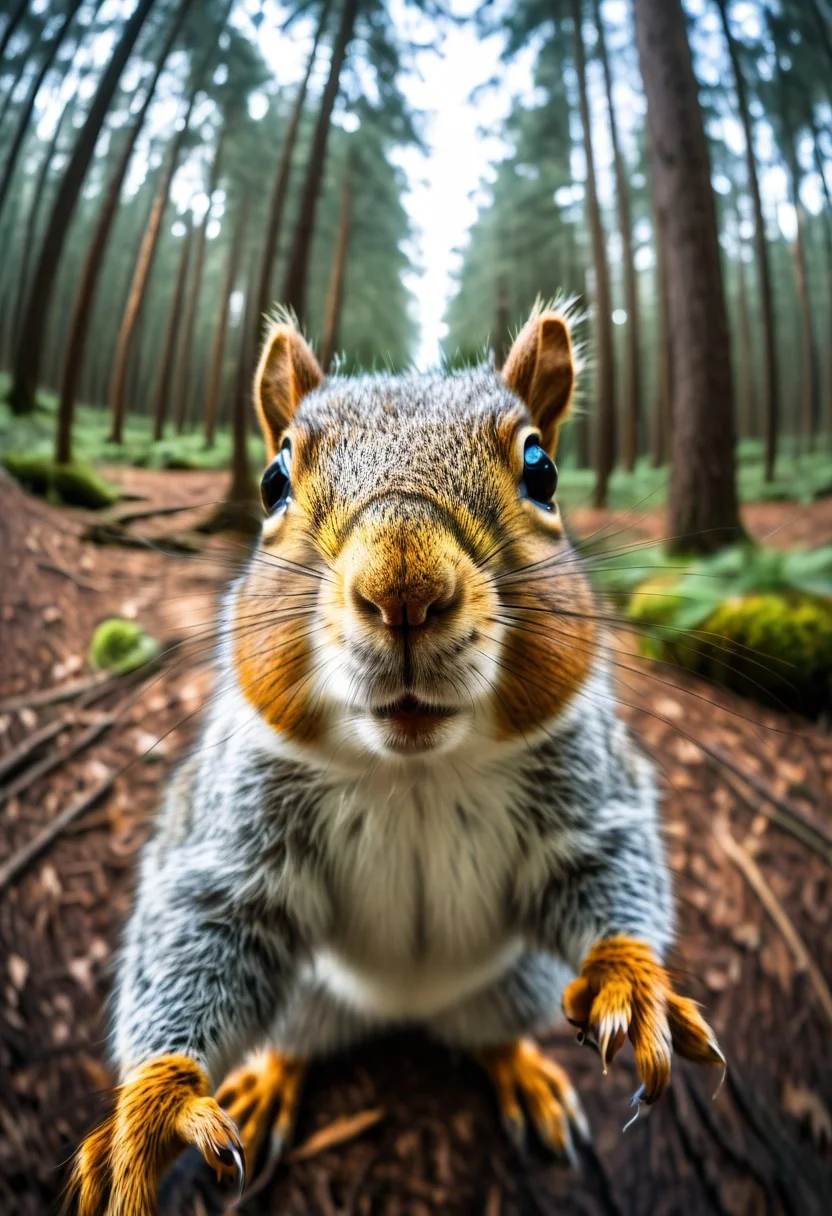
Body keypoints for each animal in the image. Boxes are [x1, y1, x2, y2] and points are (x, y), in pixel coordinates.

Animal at [68, 304, 724, 1214]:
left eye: (542, 469)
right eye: (273, 481)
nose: (403, 587)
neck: (413, 769)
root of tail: (408, 1011)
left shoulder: (586, 775)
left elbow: (604, 859)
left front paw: (634, 981)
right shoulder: (235, 811)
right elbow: (207, 914)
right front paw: (157, 1107)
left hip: (515, 987)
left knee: (492, 1034)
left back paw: (521, 1070)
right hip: (304, 1000)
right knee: (291, 1035)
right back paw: (267, 1080)